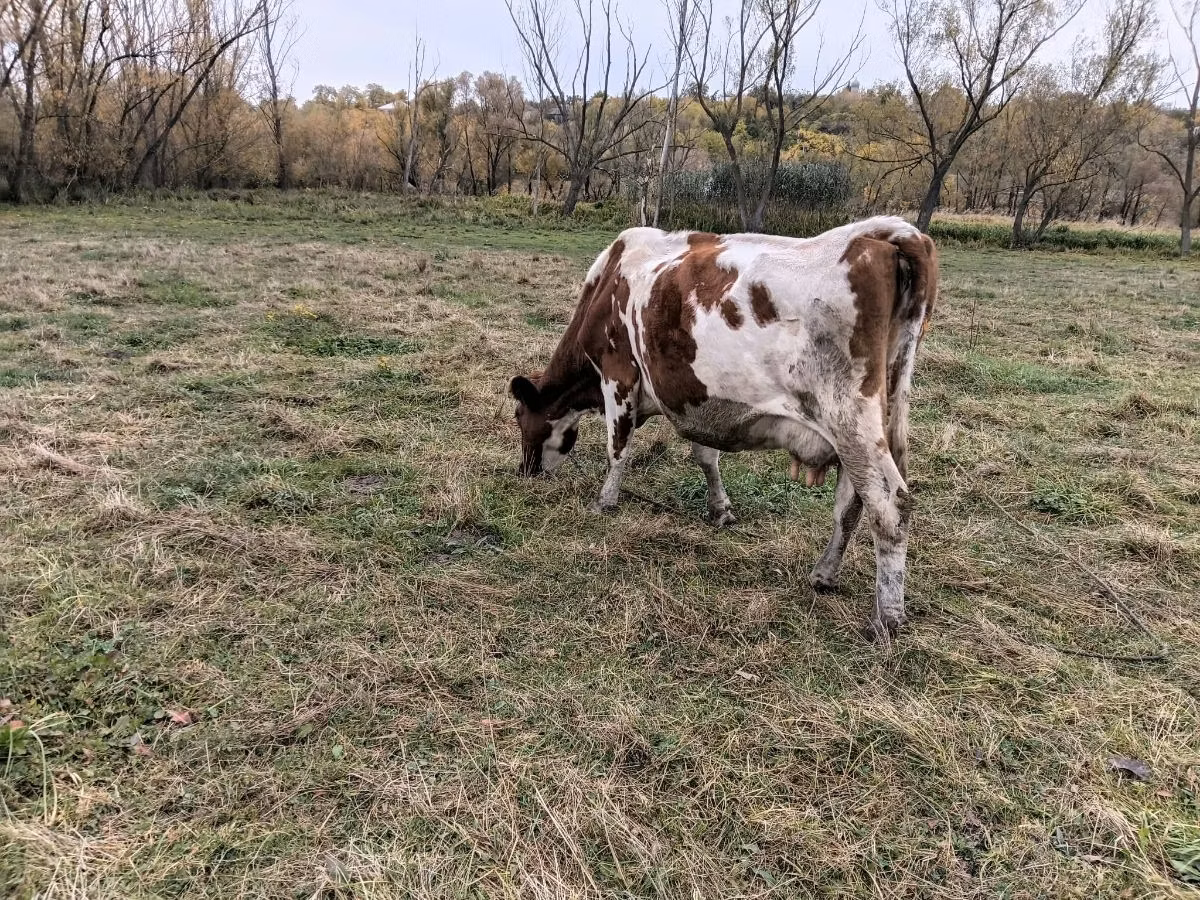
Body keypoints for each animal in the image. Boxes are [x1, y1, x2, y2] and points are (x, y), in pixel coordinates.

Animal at [509, 217, 939, 640]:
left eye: (518, 415)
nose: (524, 472)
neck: (610, 281)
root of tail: (885, 232)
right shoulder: (701, 403)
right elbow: (706, 456)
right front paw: (721, 509)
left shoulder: (618, 375)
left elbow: (618, 449)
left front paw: (605, 502)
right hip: (872, 422)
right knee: (850, 506)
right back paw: (824, 574)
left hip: (849, 417)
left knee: (889, 506)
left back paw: (887, 618)